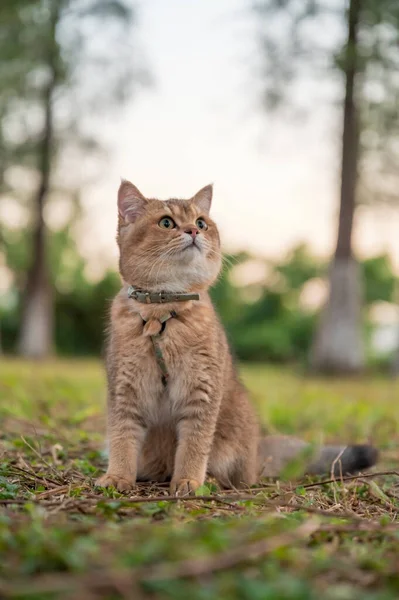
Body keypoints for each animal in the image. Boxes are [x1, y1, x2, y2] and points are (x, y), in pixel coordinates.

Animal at [97, 179, 378, 496]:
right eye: (166, 223)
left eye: (201, 222)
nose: (193, 231)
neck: (161, 315)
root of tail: (257, 452)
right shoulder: (125, 390)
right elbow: (122, 438)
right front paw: (118, 477)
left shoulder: (201, 391)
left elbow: (195, 445)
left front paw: (189, 481)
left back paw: (210, 479)